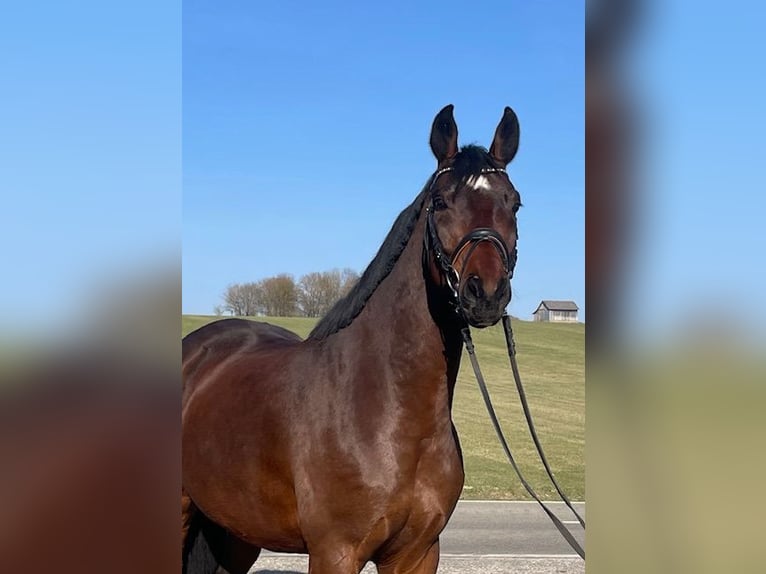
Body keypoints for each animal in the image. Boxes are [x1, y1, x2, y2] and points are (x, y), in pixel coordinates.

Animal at [182, 104, 522, 574]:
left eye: (515, 202)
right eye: (440, 202)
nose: (485, 292)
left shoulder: (418, 554)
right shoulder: (335, 552)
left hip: (234, 533)